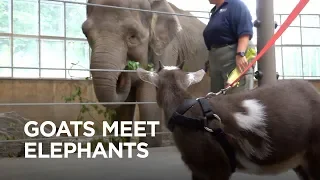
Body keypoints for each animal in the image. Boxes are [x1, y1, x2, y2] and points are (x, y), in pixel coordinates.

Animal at [82, 0, 211, 146]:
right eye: (85, 34)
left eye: (133, 36)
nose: (126, 68)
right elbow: (123, 108)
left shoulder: (168, 49)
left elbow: (149, 102)